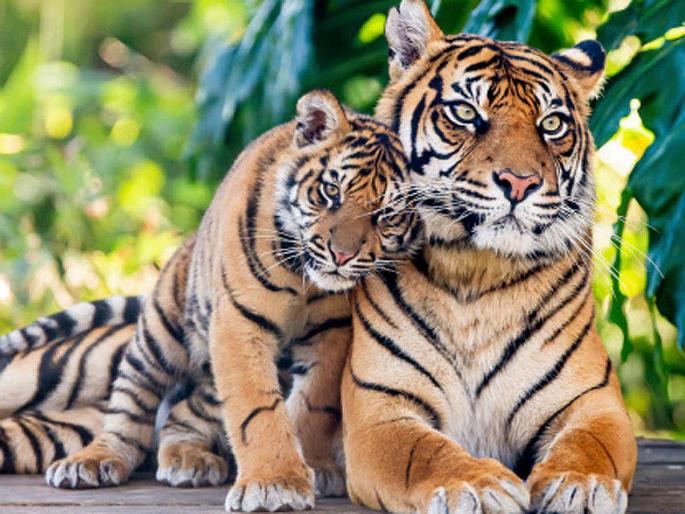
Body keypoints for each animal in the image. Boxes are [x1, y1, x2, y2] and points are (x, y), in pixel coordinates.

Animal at [33, 89, 420, 512]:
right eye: (331, 192)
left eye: (387, 214)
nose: (342, 255)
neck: (304, 277)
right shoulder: (239, 322)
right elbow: (256, 407)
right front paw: (274, 483)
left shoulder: (332, 330)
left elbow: (314, 403)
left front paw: (316, 468)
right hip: (159, 334)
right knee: (129, 406)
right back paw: (94, 460)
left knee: (180, 413)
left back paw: (189, 458)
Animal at [340, 1, 637, 513]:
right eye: (464, 113)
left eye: (551, 124)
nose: (520, 182)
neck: (478, 270)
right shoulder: (379, 413)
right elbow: (422, 453)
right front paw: (477, 485)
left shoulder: (593, 401)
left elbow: (590, 445)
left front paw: (580, 484)